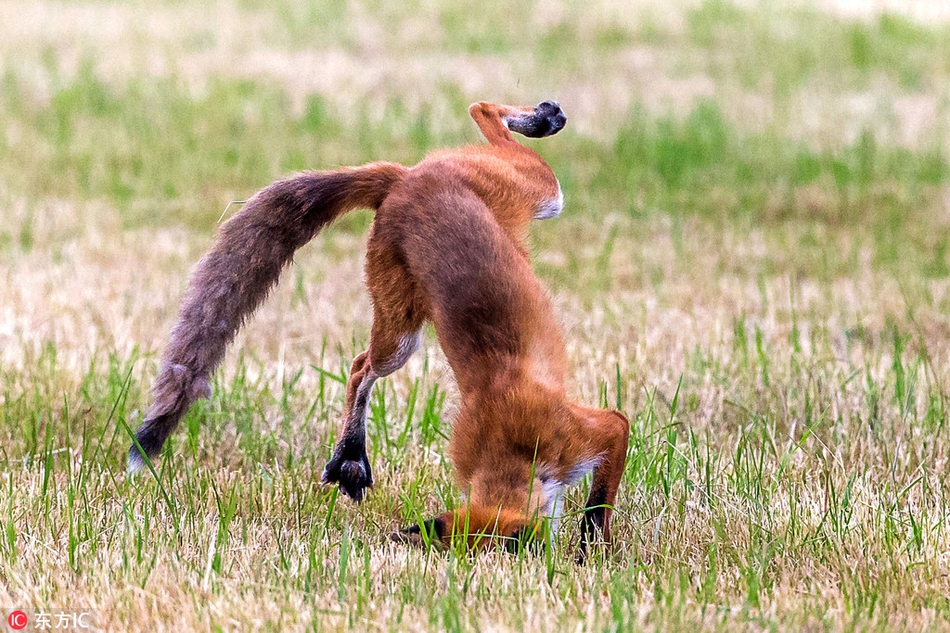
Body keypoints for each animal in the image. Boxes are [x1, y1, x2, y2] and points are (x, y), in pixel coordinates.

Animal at [128, 99, 632, 556]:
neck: (511, 442)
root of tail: (408, 177)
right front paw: (589, 550)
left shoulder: (599, 430)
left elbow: (599, 497)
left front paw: (592, 548)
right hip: (404, 333)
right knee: (359, 365)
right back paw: (350, 453)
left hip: (539, 194)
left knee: (485, 112)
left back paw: (541, 117)